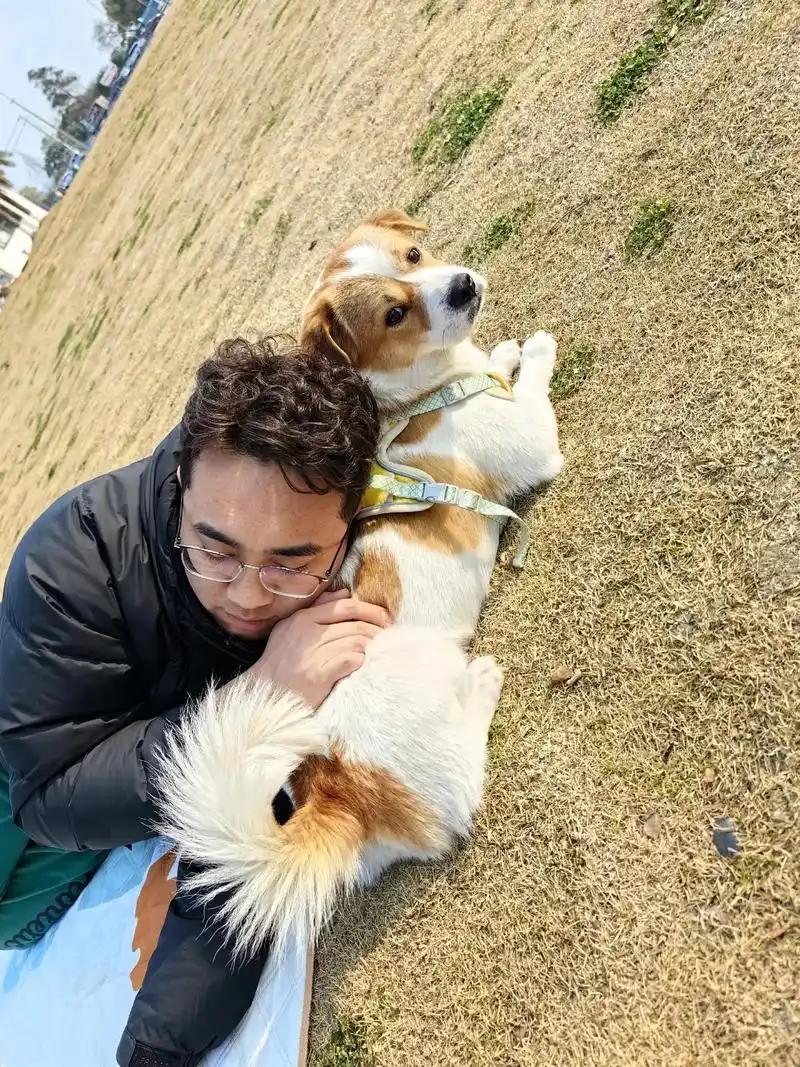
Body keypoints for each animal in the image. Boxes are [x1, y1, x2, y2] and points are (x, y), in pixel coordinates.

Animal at [156, 210, 564, 958]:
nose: (463, 287)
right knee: (463, 786)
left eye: (414, 253)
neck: (419, 393)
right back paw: (482, 684)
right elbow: (532, 391)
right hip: (427, 676)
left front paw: (503, 352)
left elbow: (498, 364)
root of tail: (338, 788)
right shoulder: (530, 437)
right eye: (395, 313)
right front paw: (536, 350)